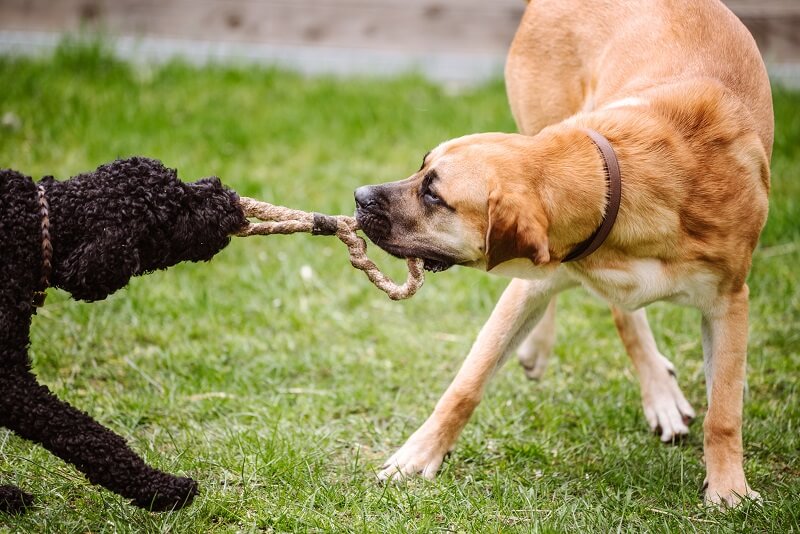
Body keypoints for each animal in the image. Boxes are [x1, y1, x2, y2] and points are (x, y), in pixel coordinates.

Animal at [0, 158, 247, 516]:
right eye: (178, 206)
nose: (229, 196)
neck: (35, 225)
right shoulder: (10, 381)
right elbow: (84, 432)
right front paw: (161, 488)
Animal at [354, 0, 772, 506]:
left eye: (434, 195)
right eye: (421, 169)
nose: (359, 197)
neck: (618, 187)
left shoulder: (729, 299)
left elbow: (724, 412)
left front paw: (728, 488)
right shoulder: (545, 268)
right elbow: (467, 382)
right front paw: (419, 455)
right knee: (614, 312)